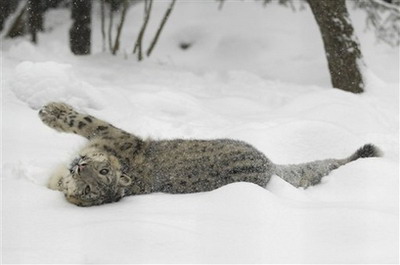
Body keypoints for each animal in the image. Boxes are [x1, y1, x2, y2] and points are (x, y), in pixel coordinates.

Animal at [39, 101, 382, 206]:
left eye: (102, 175)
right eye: (87, 188)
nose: (79, 165)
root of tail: (269, 165)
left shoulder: (116, 138)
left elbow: (86, 121)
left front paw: (51, 111)